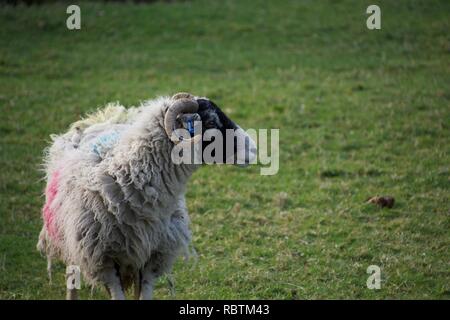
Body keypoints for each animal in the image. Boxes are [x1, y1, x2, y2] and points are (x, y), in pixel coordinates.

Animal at [36, 92, 256, 300]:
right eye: (211, 122)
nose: (253, 149)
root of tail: (106, 116)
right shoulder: (103, 262)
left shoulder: (154, 258)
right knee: (71, 276)